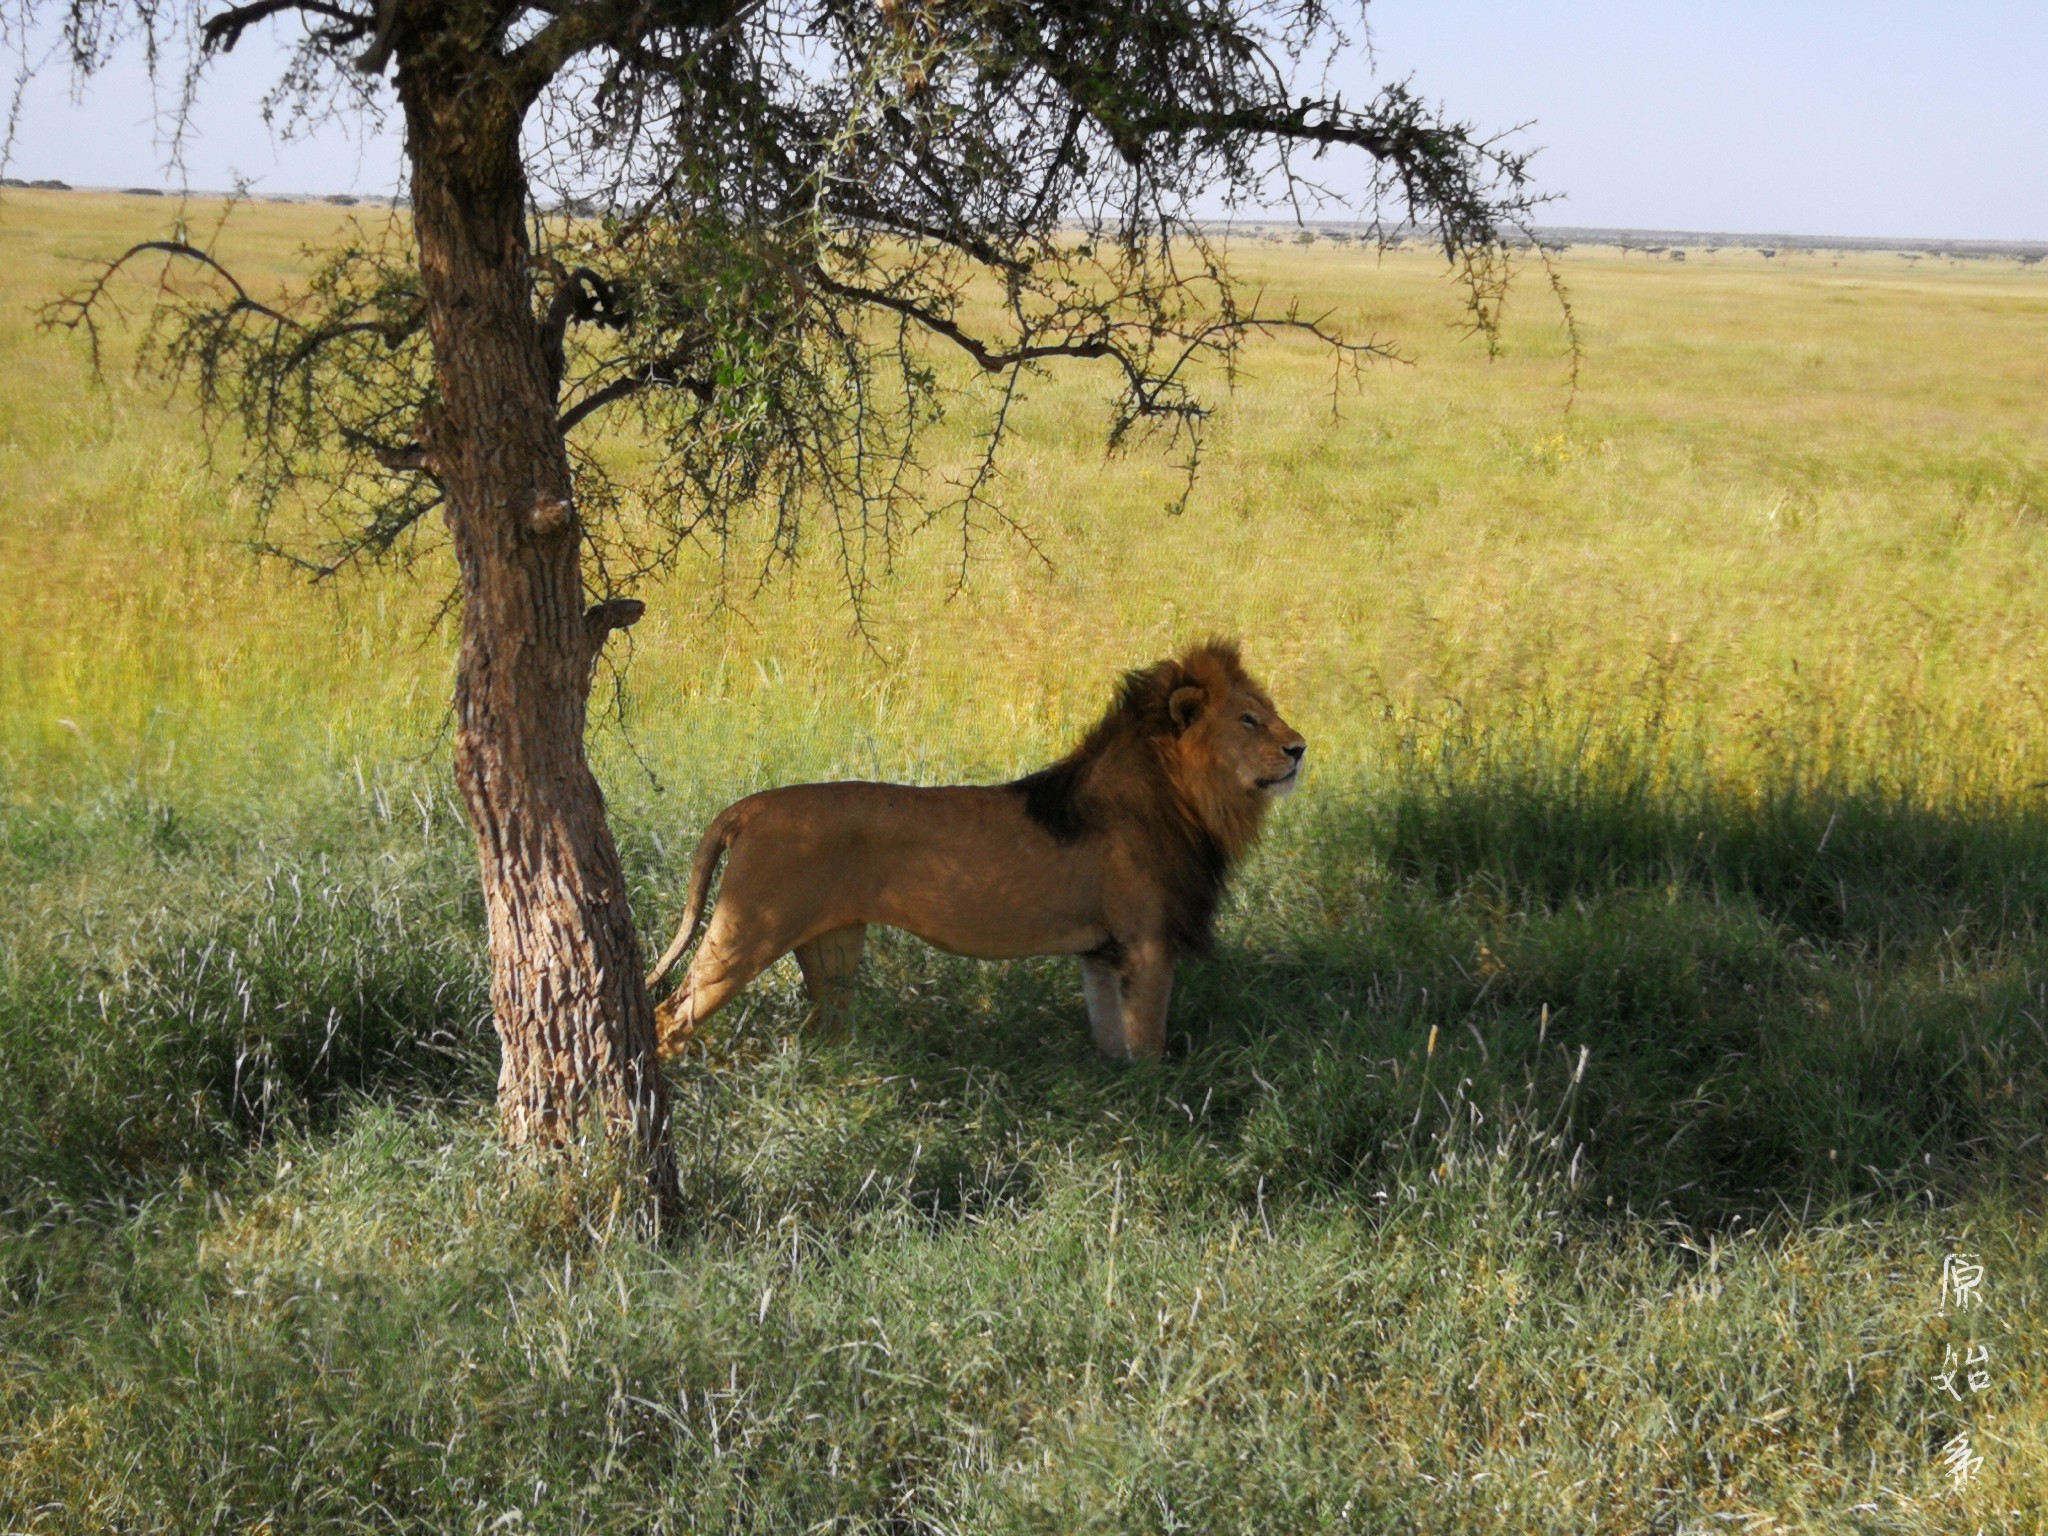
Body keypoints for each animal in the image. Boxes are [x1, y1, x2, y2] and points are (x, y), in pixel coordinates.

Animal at [647, 643, 1302, 1064]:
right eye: (1249, 720)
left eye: (1271, 713)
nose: (1300, 747)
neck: (1186, 797)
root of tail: (748, 808)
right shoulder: (1147, 942)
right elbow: (1148, 1042)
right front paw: (1151, 1105)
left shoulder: (1101, 952)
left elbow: (1110, 1035)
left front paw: (1111, 1089)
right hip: (746, 934)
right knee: (670, 1015)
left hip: (832, 948)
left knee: (822, 1028)